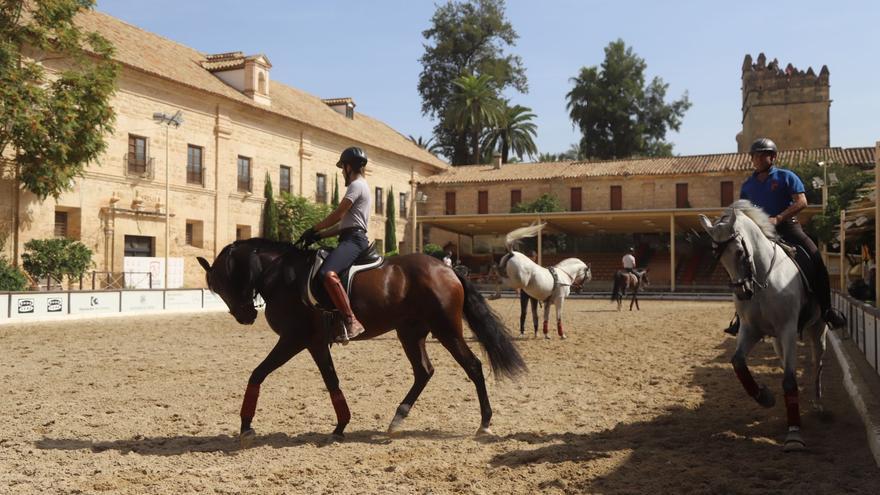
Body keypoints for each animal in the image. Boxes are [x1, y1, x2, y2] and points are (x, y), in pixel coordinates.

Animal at [197, 238, 524, 448]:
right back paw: (397, 418)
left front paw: (246, 426)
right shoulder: (314, 343)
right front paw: (341, 426)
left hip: (447, 330)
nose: (244, 316)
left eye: (221, 284)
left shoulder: (294, 339)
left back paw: (484, 423)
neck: (280, 274)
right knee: (424, 372)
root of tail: (448, 269)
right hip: (410, 333)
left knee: (473, 366)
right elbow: (331, 382)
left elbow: (259, 373)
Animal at [700, 202, 824, 454]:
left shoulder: (788, 330)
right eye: (718, 256)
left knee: (817, 362)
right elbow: (738, 363)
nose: (742, 292)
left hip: (818, 329)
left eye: (739, 252)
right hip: (777, 340)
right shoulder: (750, 330)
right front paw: (764, 396)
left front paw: (794, 435)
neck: (763, 278)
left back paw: (818, 406)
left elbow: (789, 380)